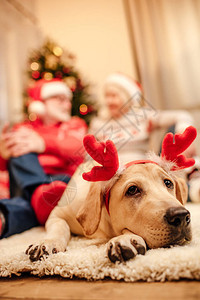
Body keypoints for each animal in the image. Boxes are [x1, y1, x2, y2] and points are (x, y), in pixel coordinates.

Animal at [25, 126, 196, 262]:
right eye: (132, 190)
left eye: (168, 183)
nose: (181, 216)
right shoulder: (58, 214)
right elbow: (60, 227)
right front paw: (47, 242)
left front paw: (126, 239)